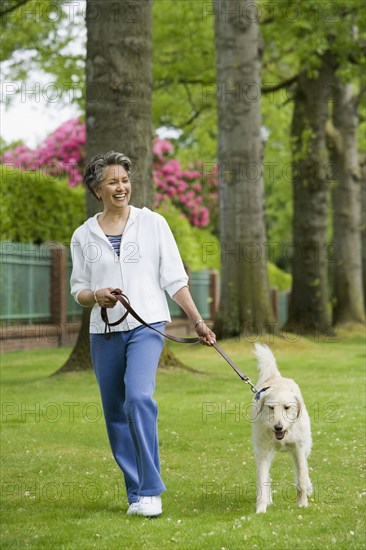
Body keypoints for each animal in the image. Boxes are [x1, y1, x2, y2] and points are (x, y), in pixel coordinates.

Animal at [252, 342, 312, 516]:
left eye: (287, 407)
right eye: (271, 408)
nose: (278, 427)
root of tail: (275, 376)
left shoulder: (299, 449)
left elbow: (301, 479)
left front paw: (302, 504)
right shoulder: (263, 453)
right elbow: (262, 480)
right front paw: (261, 509)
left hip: (306, 446)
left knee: (304, 471)